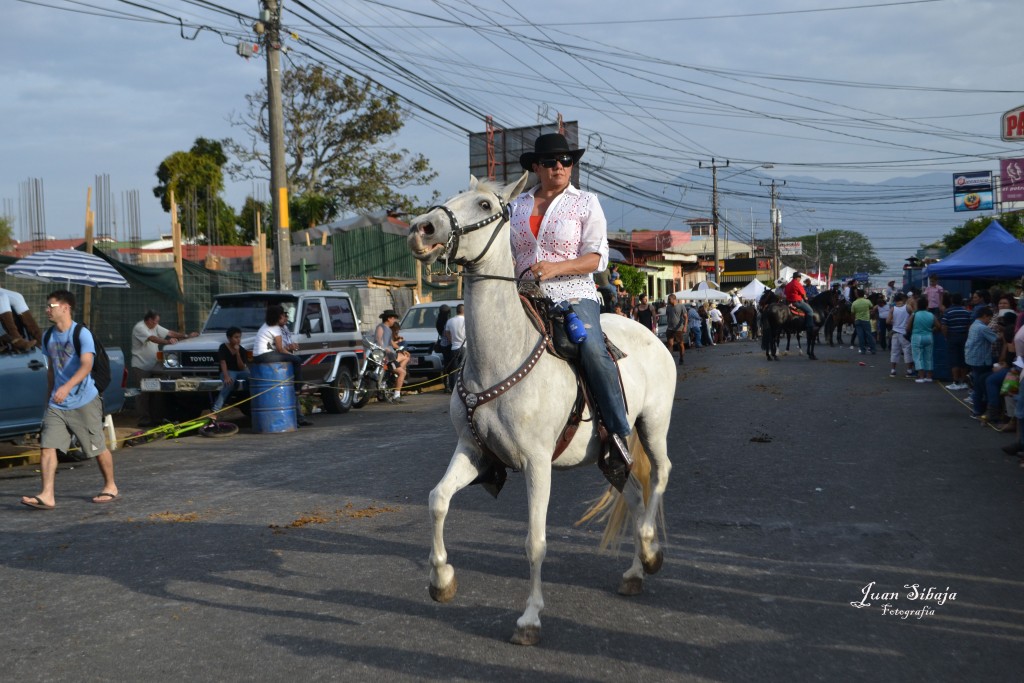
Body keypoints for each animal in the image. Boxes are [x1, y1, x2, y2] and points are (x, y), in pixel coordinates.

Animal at [403, 172, 675, 647]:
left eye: (485, 204)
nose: (423, 229)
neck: (499, 356)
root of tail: (651, 333)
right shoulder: (473, 450)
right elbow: (437, 500)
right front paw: (441, 581)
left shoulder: (537, 463)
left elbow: (535, 541)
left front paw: (529, 618)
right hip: (609, 452)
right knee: (632, 491)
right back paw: (634, 572)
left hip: (653, 425)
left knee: (659, 474)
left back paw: (648, 550)